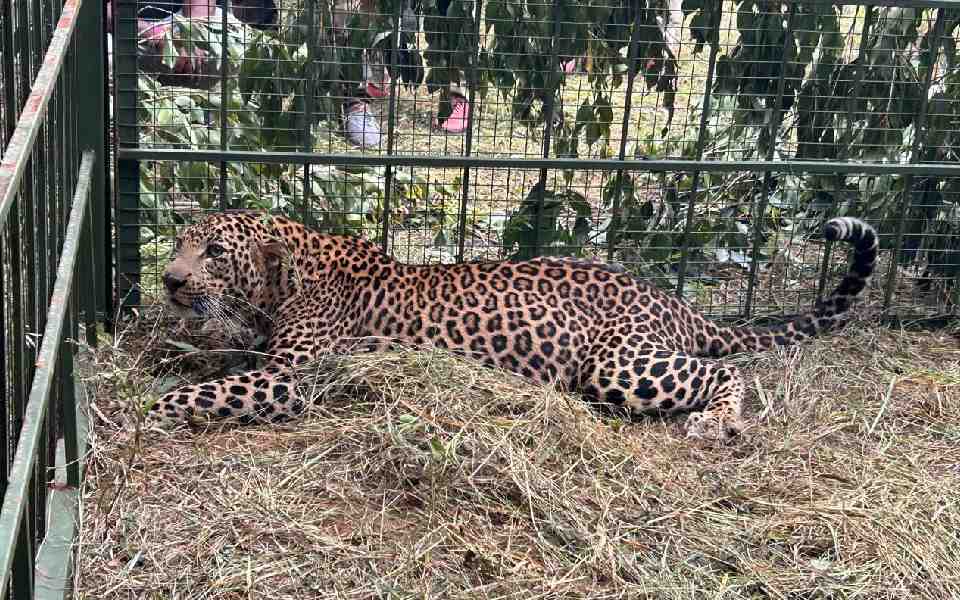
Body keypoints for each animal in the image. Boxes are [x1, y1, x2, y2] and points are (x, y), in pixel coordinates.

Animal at [150, 211, 876, 440]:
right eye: (182, 242)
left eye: (214, 251)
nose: (170, 279)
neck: (283, 282)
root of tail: (676, 303)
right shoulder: (259, 354)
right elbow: (208, 368)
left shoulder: (290, 380)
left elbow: (199, 395)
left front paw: (139, 415)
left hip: (618, 363)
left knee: (725, 370)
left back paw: (715, 421)